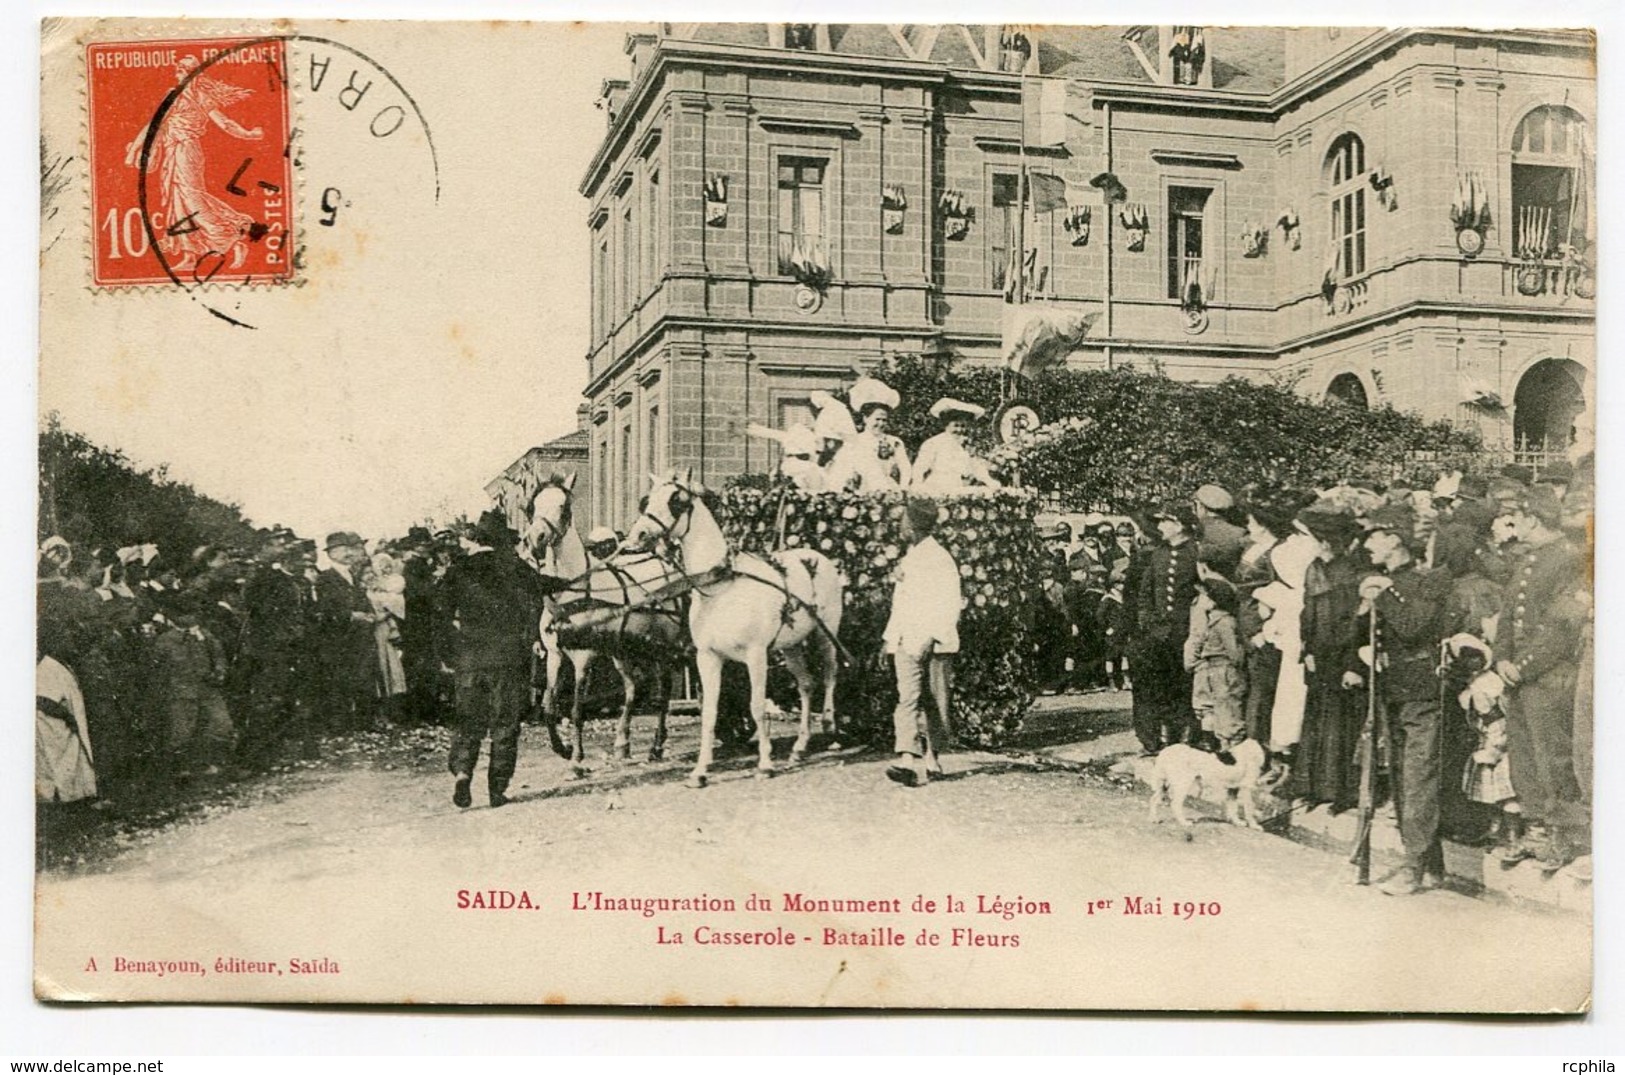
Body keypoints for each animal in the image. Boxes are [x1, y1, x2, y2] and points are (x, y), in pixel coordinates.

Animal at [526, 480, 685, 776]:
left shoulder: (583, 658)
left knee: (663, 691)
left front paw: (577, 760)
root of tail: (667, 564)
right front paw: (563, 749)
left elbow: (576, 710)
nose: (535, 538)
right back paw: (622, 744)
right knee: (633, 688)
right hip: (623, 650)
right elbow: (549, 707)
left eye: (563, 507)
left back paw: (656, 746)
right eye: (533, 505)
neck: (571, 593)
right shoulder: (554, 655)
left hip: (661, 647)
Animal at [624, 470, 845, 792]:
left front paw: (765, 765)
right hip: (790, 645)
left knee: (830, 674)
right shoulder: (708, 657)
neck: (722, 586)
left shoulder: (756, 655)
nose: (638, 534)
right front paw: (700, 772)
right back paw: (800, 748)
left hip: (824, 633)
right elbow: (710, 713)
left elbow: (756, 707)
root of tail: (817, 556)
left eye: (677, 501)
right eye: (647, 500)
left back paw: (830, 724)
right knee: (806, 684)